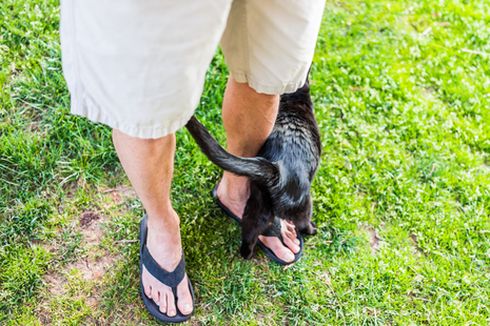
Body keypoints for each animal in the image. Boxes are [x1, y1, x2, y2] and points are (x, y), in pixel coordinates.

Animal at [186, 77, 320, 258]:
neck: (292, 101)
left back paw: (246, 254)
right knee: (302, 223)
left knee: (249, 229)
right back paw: (311, 230)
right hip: (303, 205)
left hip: (257, 205)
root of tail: (276, 170)